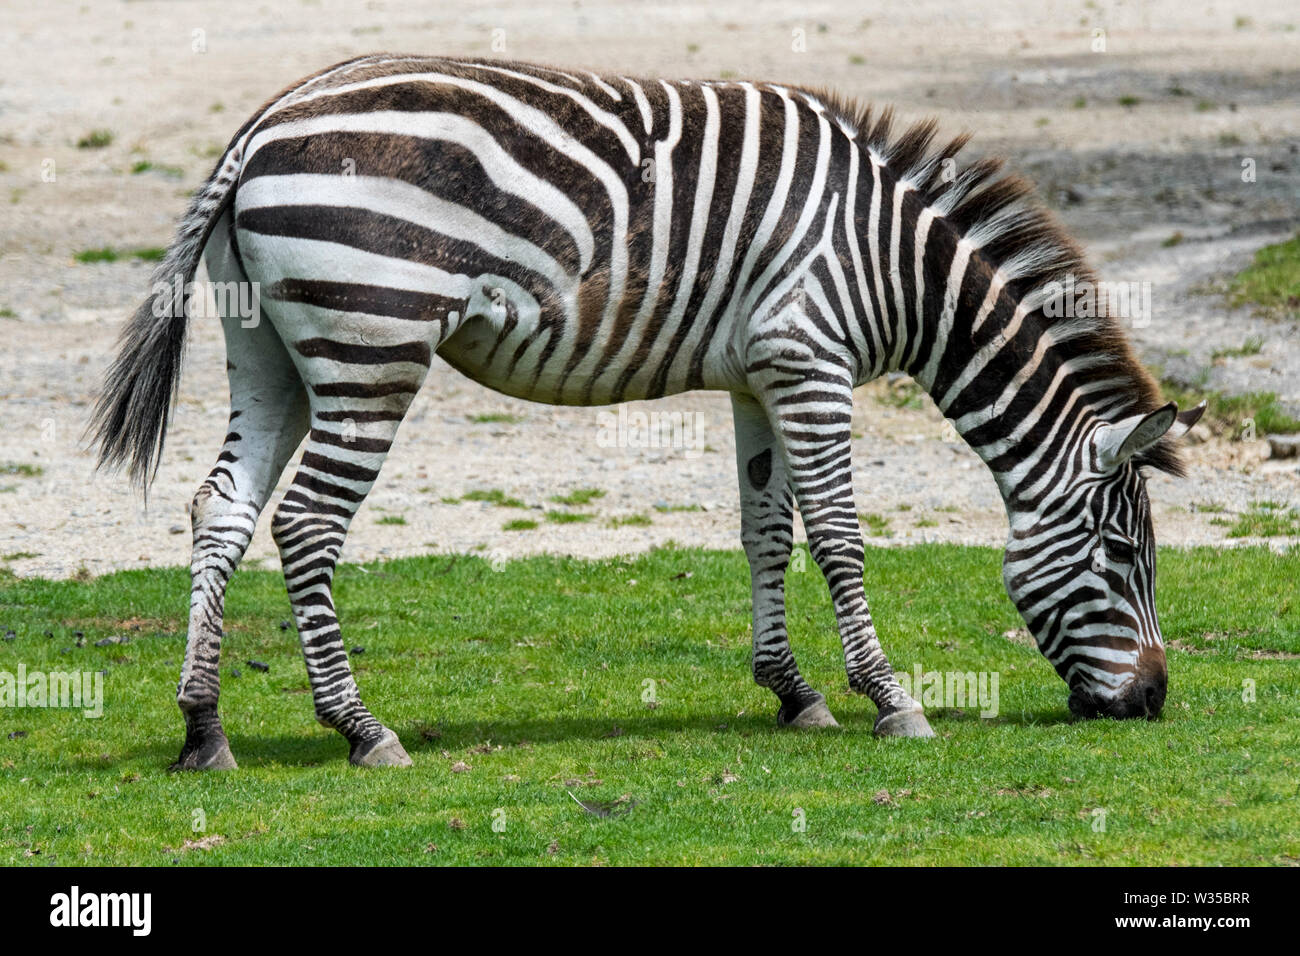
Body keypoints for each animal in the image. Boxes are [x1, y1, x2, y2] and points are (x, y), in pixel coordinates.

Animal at [91, 54, 1206, 770]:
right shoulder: (811, 363)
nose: (1153, 703)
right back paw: (362, 729)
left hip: (269, 354)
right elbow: (840, 536)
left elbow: (767, 532)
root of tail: (261, 124)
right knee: (307, 523)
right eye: (1124, 557)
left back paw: (203, 729)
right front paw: (892, 699)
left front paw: (793, 692)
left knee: (221, 508)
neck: (894, 262)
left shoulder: (761, 374)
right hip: (372, 344)